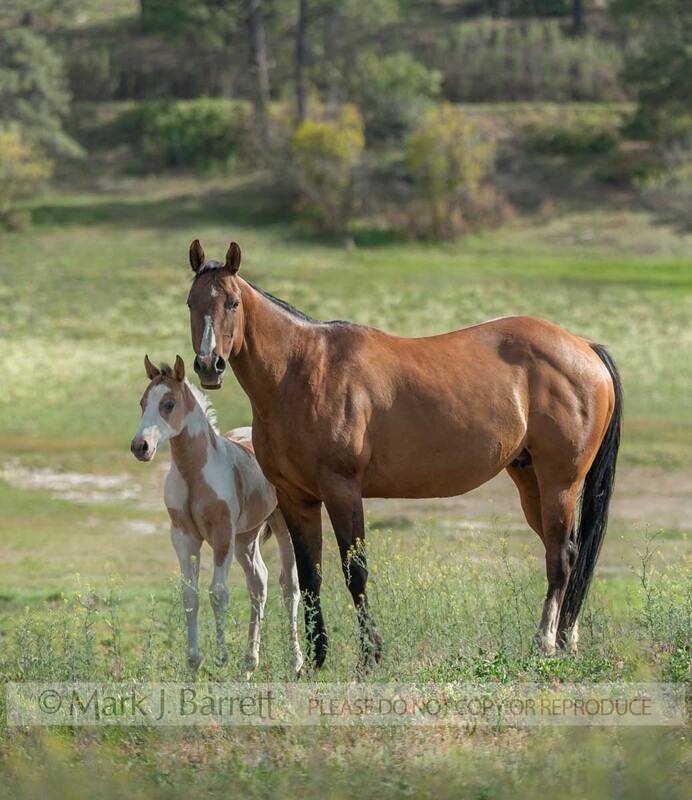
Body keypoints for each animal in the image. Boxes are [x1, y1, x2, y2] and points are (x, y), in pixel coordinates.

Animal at [130, 354, 304, 675]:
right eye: (142, 402)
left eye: (169, 404)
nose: (140, 447)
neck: (194, 474)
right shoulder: (183, 536)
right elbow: (190, 594)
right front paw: (193, 660)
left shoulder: (222, 535)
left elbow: (218, 593)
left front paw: (221, 657)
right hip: (246, 537)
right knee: (258, 583)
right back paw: (249, 663)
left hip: (281, 524)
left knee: (289, 585)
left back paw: (295, 660)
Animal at [184, 239, 622, 670]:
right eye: (191, 302)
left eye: (232, 303)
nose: (209, 364)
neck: (301, 369)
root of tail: (586, 348)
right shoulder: (297, 498)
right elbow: (310, 577)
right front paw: (317, 658)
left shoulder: (342, 490)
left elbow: (355, 571)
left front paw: (370, 655)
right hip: (531, 482)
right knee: (563, 554)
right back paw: (567, 642)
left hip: (560, 483)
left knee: (561, 557)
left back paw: (547, 643)